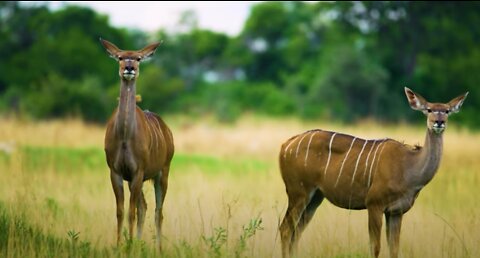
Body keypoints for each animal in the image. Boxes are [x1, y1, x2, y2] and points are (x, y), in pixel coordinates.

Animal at [101, 38, 174, 250]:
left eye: (138, 58)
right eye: (119, 57)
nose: (129, 68)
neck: (125, 137)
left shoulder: (138, 171)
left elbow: (131, 212)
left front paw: (128, 245)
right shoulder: (116, 172)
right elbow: (121, 211)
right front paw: (120, 245)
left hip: (162, 172)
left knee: (158, 211)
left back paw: (158, 249)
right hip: (141, 179)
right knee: (145, 207)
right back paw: (140, 243)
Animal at [280, 87, 466, 256]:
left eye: (447, 111)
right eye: (429, 109)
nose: (439, 122)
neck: (408, 167)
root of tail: (285, 145)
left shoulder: (396, 211)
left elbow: (394, 250)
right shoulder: (374, 204)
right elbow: (375, 248)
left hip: (316, 197)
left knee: (296, 232)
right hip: (298, 192)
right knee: (286, 229)